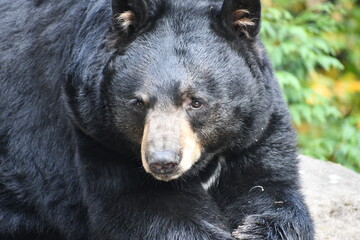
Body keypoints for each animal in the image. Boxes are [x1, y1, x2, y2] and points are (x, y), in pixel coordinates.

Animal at [0, 0, 314, 239]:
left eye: (196, 102)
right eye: (138, 103)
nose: (163, 161)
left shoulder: (258, 123)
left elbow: (270, 186)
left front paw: (254, 228)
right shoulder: (96, 132)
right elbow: (152, 212)